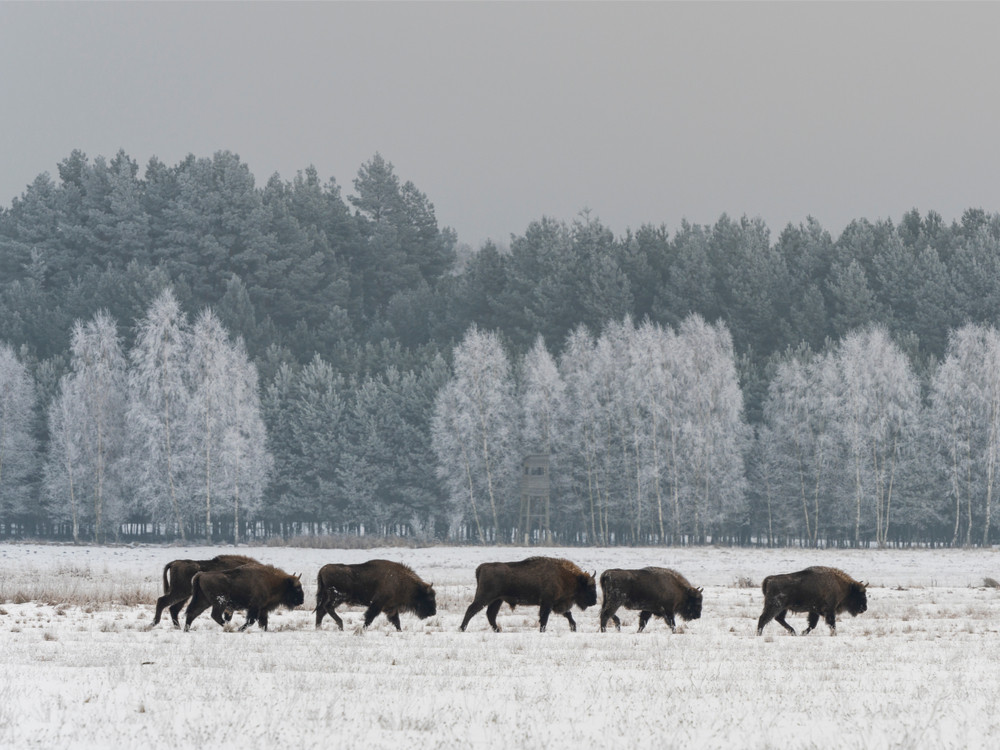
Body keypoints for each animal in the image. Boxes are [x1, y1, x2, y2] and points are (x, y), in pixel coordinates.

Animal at [458, 560, 596, 636]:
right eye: (589, 587)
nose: (594, 602)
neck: (563, 576)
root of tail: (481, 567)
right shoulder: (547, 603)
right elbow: (544, 618)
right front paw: (542, 631)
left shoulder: (556, 604)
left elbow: (568, 614)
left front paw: (574, 628)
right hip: (485, 597)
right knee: (471, 610)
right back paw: (461, 629)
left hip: (497, 600)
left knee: (490, 614)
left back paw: (498, 630)